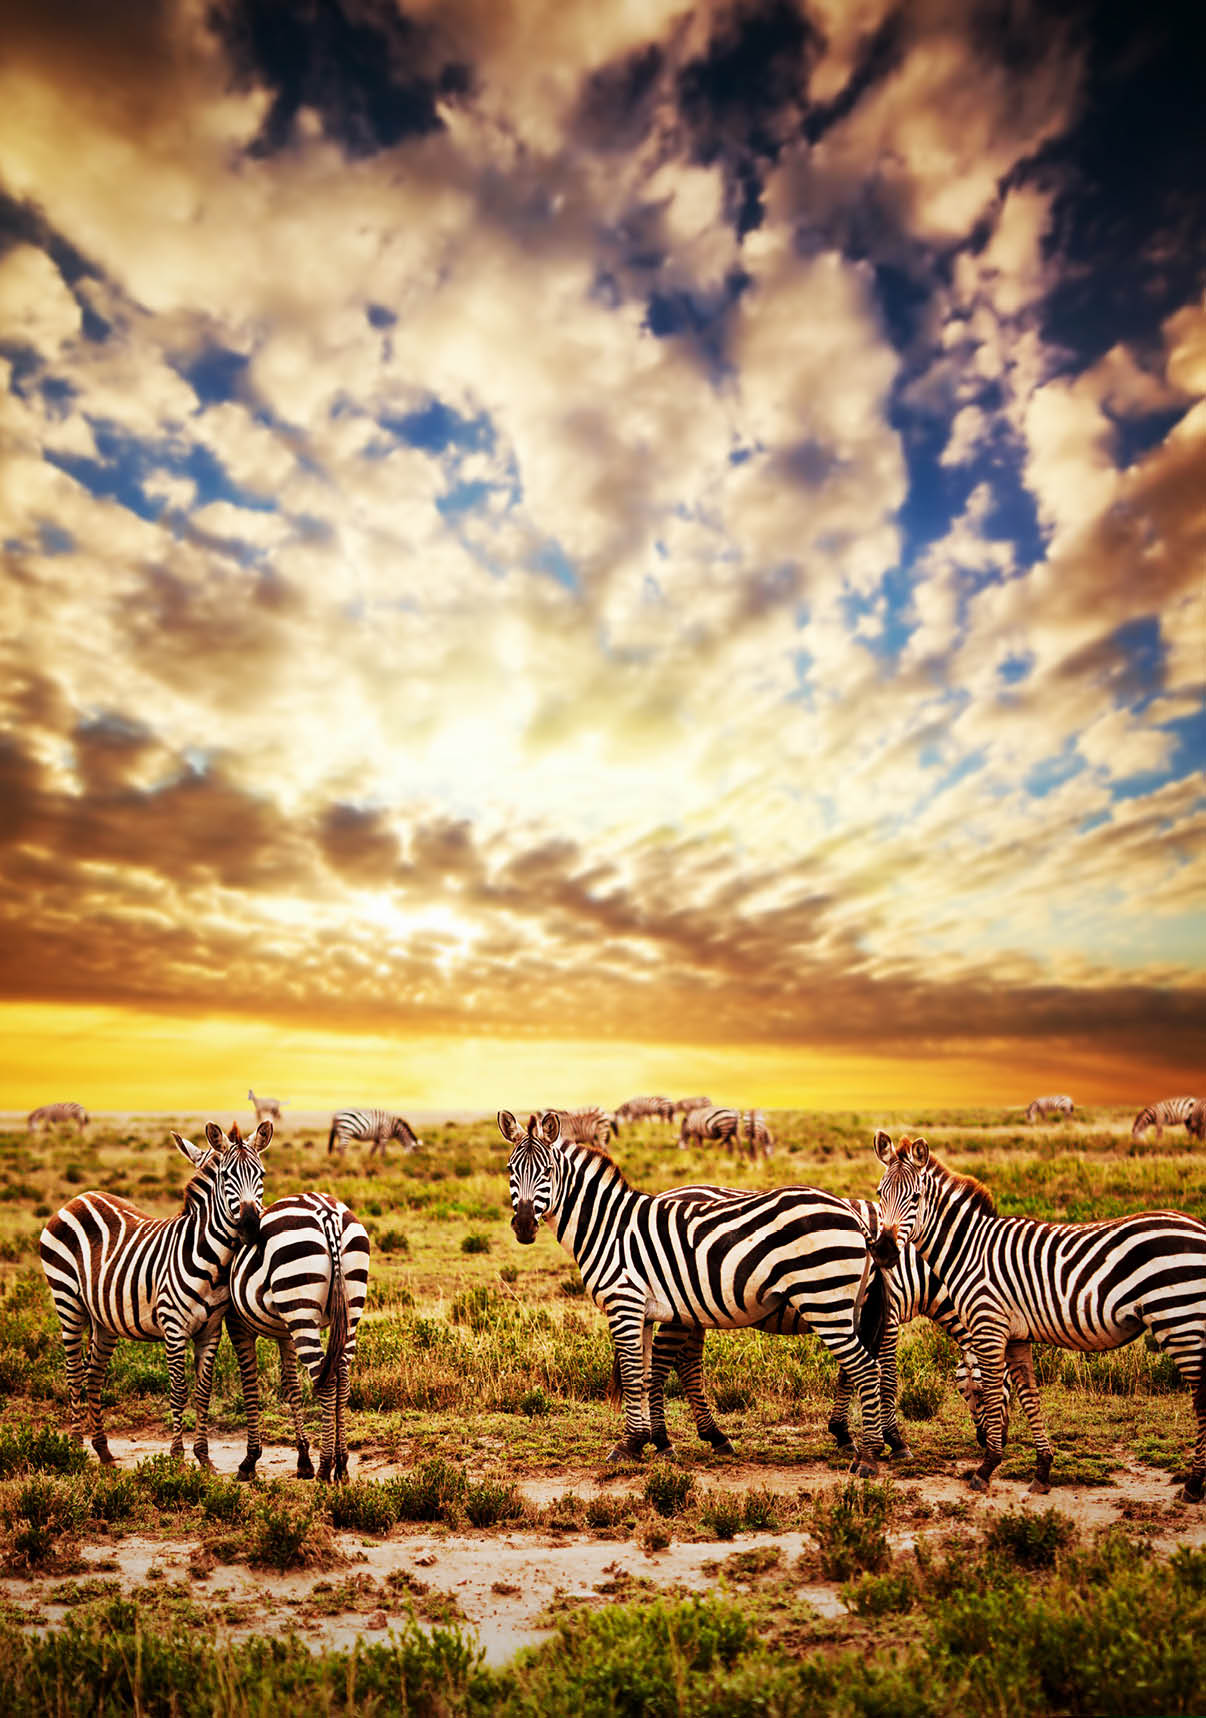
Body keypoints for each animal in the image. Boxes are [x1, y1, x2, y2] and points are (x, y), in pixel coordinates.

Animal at [39, 1120, 272, 1468]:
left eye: (261, 1174)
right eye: (225, 1176)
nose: (250, 1225)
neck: (213, 1260)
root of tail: (79, 1198)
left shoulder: (210, 1330)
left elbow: (203, 1391)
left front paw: (204, 1458)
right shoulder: (173, 1328)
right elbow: (178, 1389)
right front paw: (176, 1457)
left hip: (103, 1318)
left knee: (93, 1375)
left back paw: (103, 1450)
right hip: (68, 1302)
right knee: (75, 1374)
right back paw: (75, 1449)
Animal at [226, 1184, 370, 1484]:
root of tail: (327, 1212)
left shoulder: (237, 1324)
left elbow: (249, 1385)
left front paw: (249, 1461)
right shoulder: (285, 1332)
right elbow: (291, 1386)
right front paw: (303, 1460)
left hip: (301, 1307)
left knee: (326, 1381)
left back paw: (326, 1468)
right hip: (347, 1307)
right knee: (342, 1378)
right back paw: (342, 1465)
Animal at [498, 1110, 890, 1473]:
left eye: (548, 1171)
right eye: (509, 1169)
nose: (523, 1225)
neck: (607, 1227)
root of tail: (853, 1215)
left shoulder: (624, 1303)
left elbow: (632, 1375)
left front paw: (627, 1445)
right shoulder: (641, 1310)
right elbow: (644, 1374)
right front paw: (645, 1441)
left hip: (824, 1300)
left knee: (865, 1368)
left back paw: (869, 1457)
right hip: (837, 1304)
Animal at [874, 1130, 1206, 1500]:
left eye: (916, 1197)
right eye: (880, 1194)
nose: (882, 1251)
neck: (970, 1250)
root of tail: (1196, 1224)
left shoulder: (989, 1326)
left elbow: (996, 1389)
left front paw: (986, 1467)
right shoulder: (1016, 1336)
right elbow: (1029, 1397)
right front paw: (1042, 1471)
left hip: (1179, 1319)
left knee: (1202, 1397)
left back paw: (1193, 1485)